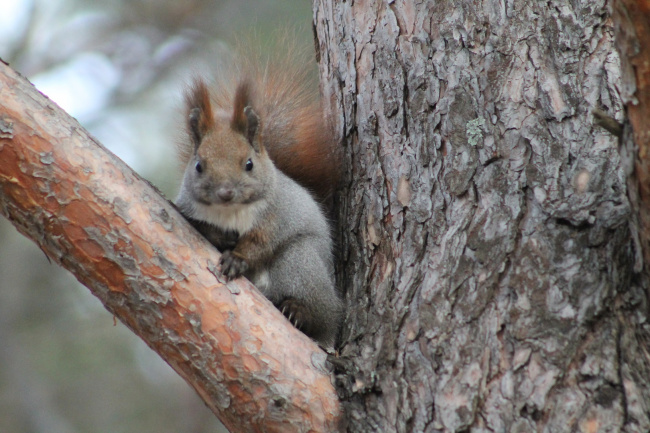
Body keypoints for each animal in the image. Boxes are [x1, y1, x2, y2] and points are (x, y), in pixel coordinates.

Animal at [172, 46, 344, 348]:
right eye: (199, 166)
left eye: (249, 164)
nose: (225, 192)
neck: (230, 212)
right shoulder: (188, 210)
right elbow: (202, 228)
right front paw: (222, 237)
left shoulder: (276, 215)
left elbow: (261, 242)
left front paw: (237, 257)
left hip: (301, 263)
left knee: (324, 316)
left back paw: (299, 312)